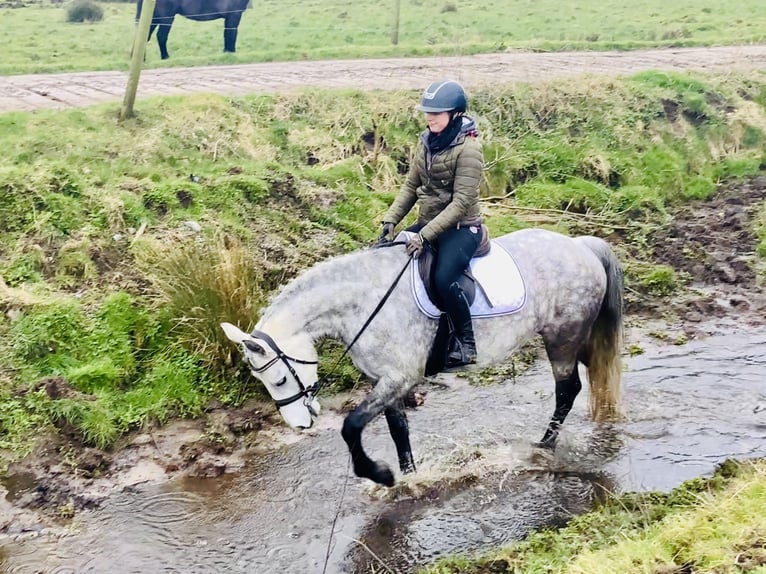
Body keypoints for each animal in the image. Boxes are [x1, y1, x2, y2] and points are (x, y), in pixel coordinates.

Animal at [220, 228, 624, 486]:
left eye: (279, 379)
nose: (300, 425)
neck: (364, 300)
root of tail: (581, 246)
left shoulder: (399, 377)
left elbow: (352, 426)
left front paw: (381, 475)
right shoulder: (383, 379)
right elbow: (398, 428)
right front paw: (408, 476)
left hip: (561, 339)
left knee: (567, 390)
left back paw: (544, 445)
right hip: (577, 339)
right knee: (590, 374)